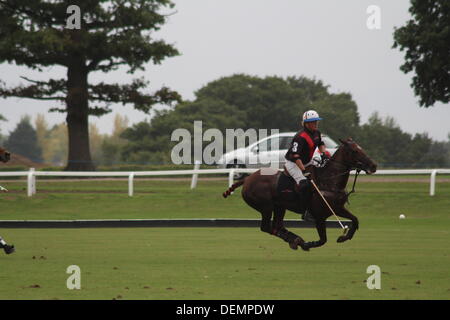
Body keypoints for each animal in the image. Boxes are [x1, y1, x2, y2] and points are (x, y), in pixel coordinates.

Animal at [224, 139, 376, 251]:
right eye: (355, 151)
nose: (373, 166)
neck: (329, 181)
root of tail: (247, 179)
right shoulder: (319, 216)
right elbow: (322, 240)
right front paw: (307, 244)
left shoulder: (338, 208)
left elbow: (355, 220)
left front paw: (344, 237)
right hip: (266, 207)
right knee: (266, 227)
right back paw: (298, 241)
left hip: (280, 207)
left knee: (277, 226)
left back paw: (295, 240)